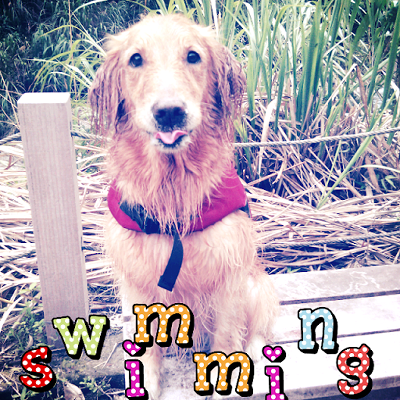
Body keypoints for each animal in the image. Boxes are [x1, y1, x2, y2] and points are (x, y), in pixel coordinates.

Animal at [89, 13, 278, 399]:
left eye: (193, 56)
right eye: (135, 59)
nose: (169, 113)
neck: (172, 194)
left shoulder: (229, 275)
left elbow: (227, 337)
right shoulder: (137, 281)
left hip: (256, 284)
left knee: (255, 329)